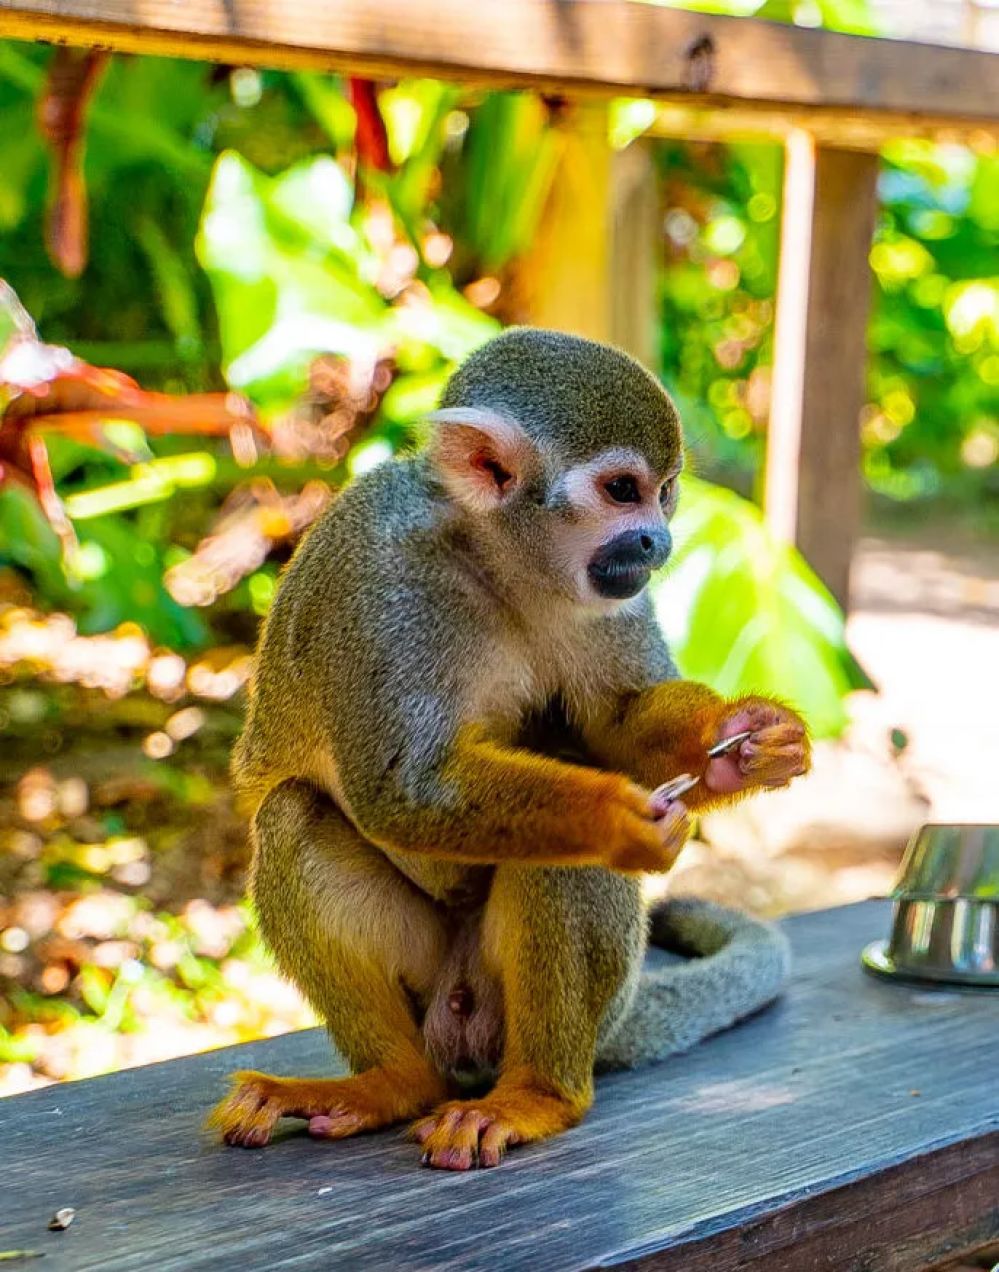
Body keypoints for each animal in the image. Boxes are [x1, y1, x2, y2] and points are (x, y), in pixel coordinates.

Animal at [208, 327, 810, 1170]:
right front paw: (616, 817)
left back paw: (535, 1093)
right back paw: (397, 1083)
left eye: (665, 491)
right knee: (296, 813)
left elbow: (617, 722)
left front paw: (739, 741)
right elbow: (403, 787)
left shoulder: (611, 592)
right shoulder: (385, 585)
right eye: (622, 490)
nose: (658, 540)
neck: (495, 560)